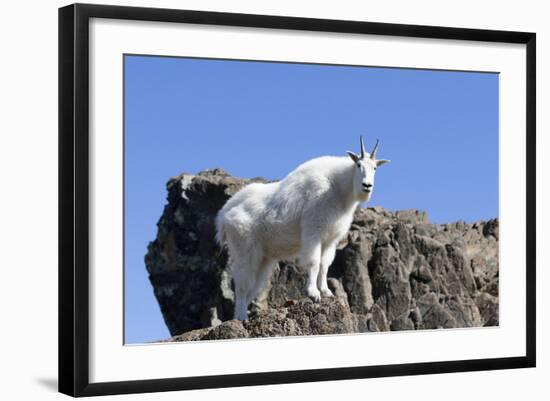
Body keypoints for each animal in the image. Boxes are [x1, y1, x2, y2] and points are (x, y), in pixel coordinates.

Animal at [213, 136, 390, 320]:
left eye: (375, 168)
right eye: (358, 165)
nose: (367, 185)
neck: (338, 189)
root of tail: (223, 217)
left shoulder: (330, 239)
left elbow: (325, 264)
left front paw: (326, 292)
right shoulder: (313, 230)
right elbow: (314, 262)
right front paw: (313, 293)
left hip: (264, 257)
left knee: (254, 285)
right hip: (244, 248)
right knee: (242, 282)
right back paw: (241, 317)